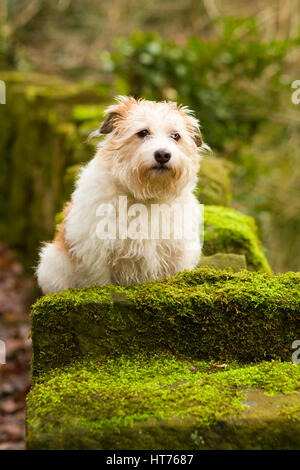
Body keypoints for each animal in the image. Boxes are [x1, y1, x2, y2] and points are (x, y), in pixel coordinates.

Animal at [37, 95, 206, 294]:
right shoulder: (96, 257)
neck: (147, 197)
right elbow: (100, 283)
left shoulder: (178, 255)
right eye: (142, 132)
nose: (163, 155)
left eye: (176, 136)